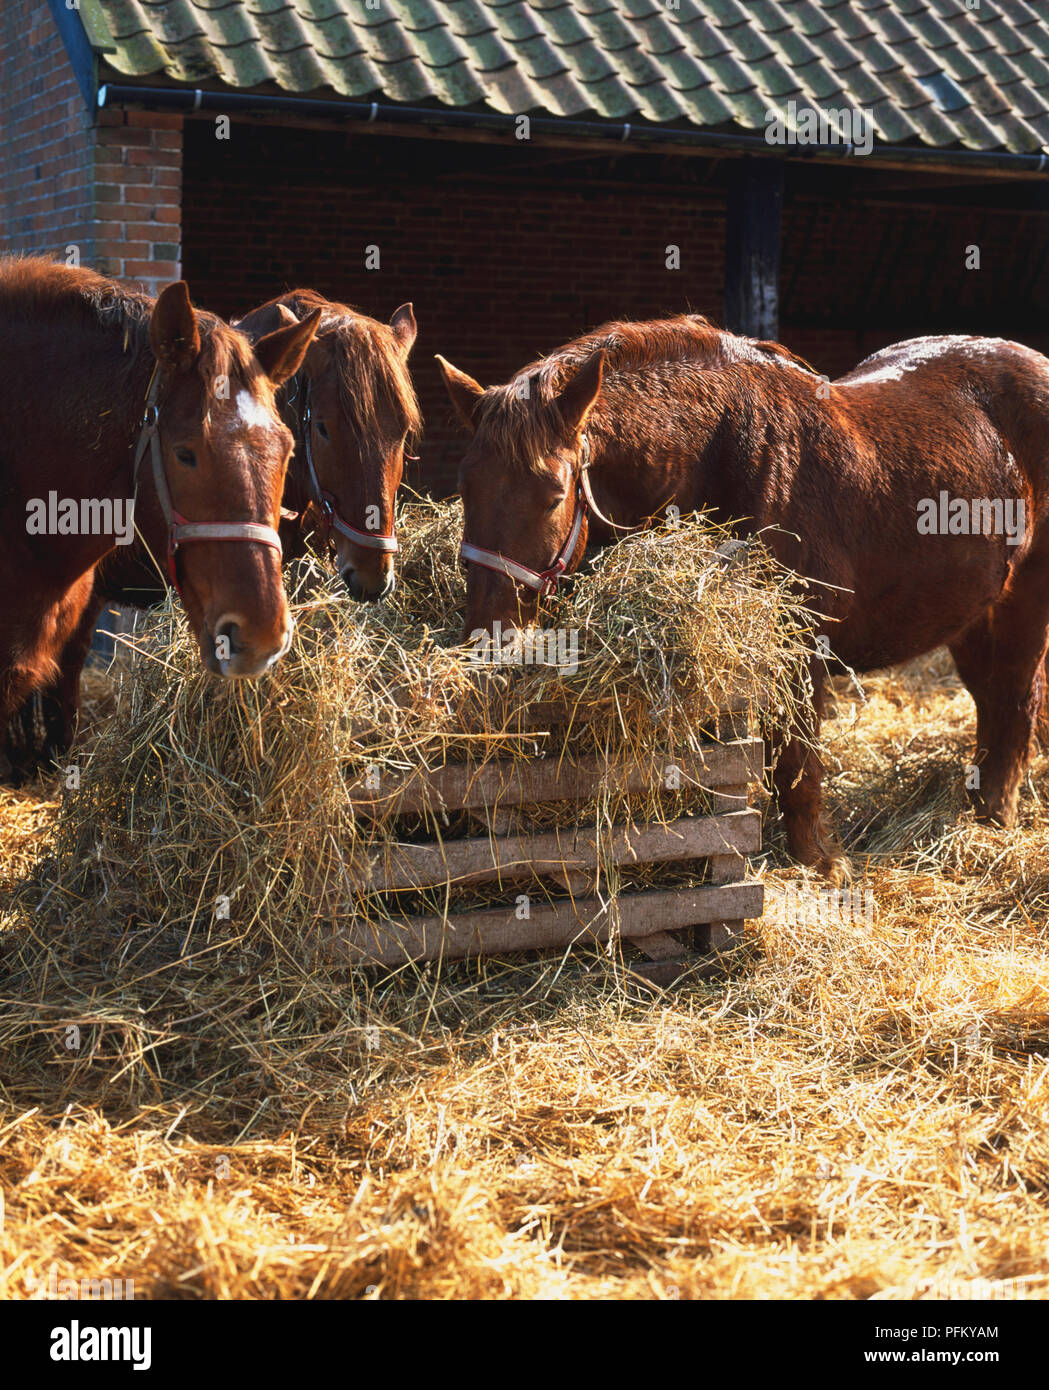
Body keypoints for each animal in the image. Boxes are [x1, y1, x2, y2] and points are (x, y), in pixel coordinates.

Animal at [436, 316, 1049, 882]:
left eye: (554, 493)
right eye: (464, 486)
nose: (487, 634)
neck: (728, 456)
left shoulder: (800, 648)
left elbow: (796, 762)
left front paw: (820, 863)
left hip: (1024, 603)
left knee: (1015, 702)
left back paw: (994, 819)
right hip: (975, 614)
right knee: (993, 702)